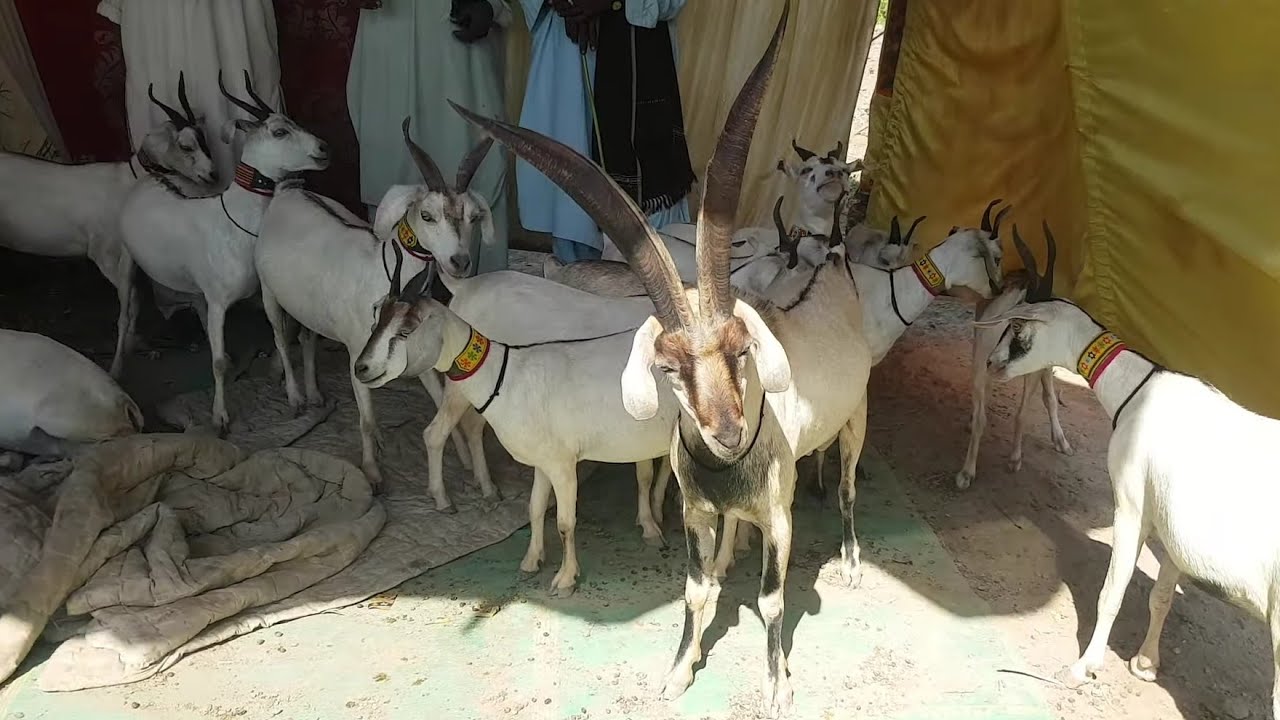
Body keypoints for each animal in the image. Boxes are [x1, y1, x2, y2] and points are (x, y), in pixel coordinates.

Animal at [0, 73, 215, 378]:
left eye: (204, 138)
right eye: (186, 145)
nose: (212, 174)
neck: (126, 182)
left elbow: (140, 300)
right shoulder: (106, 254)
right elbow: (131, 302)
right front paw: (117, 365)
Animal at [118, 71, 328, 432]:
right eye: (279, 131)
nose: (324, 149)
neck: (236, 225)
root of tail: (153, 177)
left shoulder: (265, 293)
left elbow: (281, 336)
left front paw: (296, 396)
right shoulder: (219, 302)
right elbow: (214, 362)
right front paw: (220, 417)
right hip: (126, 261)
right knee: (124, 313)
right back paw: (118, 367)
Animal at [255, 117, 489, 489]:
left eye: (474, 217)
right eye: (427, 215)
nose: (459, 262)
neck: (384, 269)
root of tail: (287, 191)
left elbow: (439, 398)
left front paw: (466, 461)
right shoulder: (356, 353)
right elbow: (365, 419)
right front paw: (373, 473)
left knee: (307, 338)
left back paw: (315, 394)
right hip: (268, 292)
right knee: (279, 337)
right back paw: (295, 397)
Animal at [455, 5, 872, 714]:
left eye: (741, 347)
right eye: (669, 366)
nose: (727, 432)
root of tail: (835, 262)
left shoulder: (781, 516)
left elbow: (772, 600)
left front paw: (777, 687)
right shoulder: (696, 509)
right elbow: (697, 590)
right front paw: (679, 670)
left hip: (855, 420)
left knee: (844, 484)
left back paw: (847, 556)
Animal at [980, 225, 1280, 717]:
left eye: (1018, 325)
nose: (991, 363)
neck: (1140, 389)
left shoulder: (1132, 505)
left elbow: (1112, 591)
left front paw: (1081, 669)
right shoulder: (1174, 531)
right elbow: (1161, 597)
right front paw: (1145, 663)